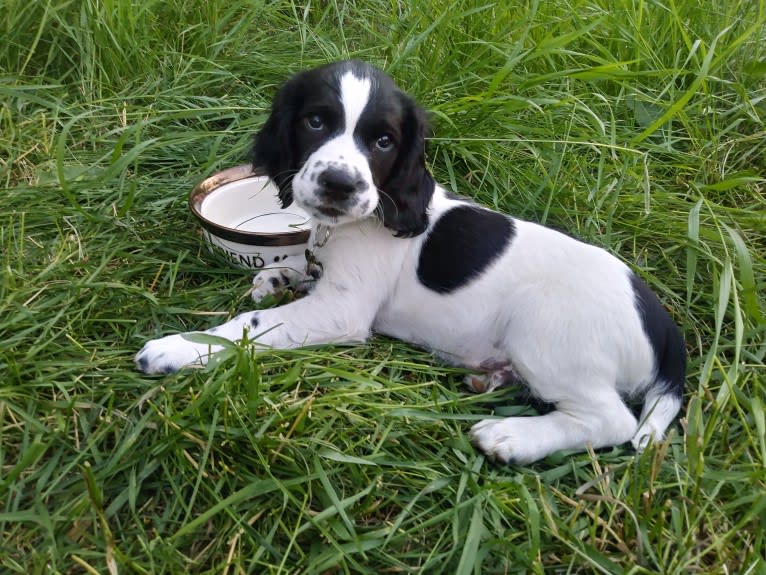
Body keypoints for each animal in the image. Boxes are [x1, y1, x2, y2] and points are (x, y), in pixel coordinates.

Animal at [135, 59, 688, 464]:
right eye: (315, 121)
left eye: (384, 141)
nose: (340, 184)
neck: (356, 222)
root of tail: (662, 323)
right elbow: (299, 262)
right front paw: (278, 273)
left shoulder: (340, 312)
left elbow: (247, 326)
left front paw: (177, 348)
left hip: (546, 332)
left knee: (610, 420)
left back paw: (513, 438)